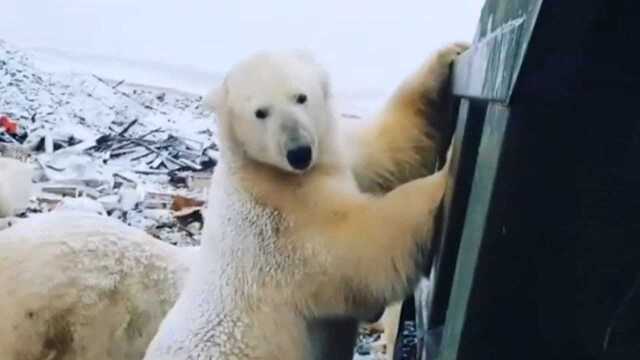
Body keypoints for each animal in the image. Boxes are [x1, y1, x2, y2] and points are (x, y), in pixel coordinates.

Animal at [144, 43, 464, 358]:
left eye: (301, 97)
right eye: (261, 112)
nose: (299, 152)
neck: (267, 172)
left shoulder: (332, 153)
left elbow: (386, 149)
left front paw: (448, 56)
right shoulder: (281, 224)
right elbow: (360, 244)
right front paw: (446, 172)